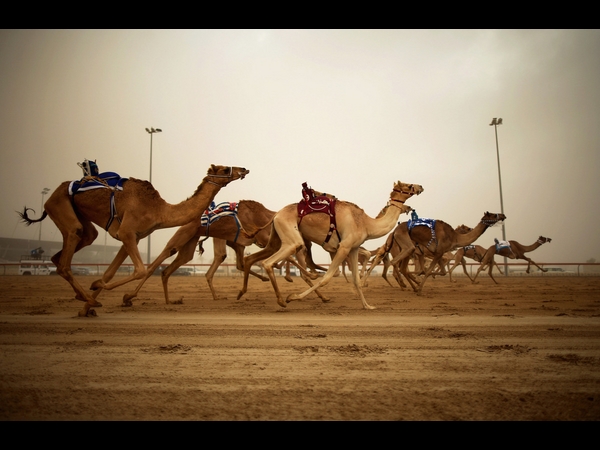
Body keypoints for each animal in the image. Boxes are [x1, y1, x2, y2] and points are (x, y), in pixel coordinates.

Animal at [18, 163, 248, 316]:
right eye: (224, 169)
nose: (243, 169)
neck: (159, 209)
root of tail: (53, 193)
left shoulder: (133, 237)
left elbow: (111, 273)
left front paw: (88, 306)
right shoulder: (127, 232)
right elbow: (140, 270)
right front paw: (100, 291)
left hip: (80, 218)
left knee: (70, 250)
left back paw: (85, 298)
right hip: (59, 205)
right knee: (67, 258)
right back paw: (89, 296)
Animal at [237, 179, 424, 310]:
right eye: (408, 185)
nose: (420, 187)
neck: (366, 224)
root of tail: (276, 214)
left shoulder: (353, 248)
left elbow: (356, 280)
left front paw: (368, 306)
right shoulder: (344, 247)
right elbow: (327, 278)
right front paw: (294, 297)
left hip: (276, 238)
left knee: (255, 259)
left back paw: (243, 292)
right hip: (291, 237)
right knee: (269, 262)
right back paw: (283, 300)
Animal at [366, 214, 506, 298]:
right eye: (466, 228)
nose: (502, 215)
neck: (453, 237)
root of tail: (392, 234)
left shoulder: (428, 254)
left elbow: (431, 270)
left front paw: (420, 281)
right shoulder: (434, 253)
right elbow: (427, 269)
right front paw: (420, 283)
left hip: (406, 251)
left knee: (400, 268)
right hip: (403, 249)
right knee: (396, 266)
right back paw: (405, 285)